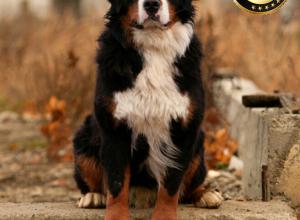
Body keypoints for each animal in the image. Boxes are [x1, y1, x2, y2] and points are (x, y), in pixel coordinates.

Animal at [72, 0, 223, 220]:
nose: (152, 4)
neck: (154, 46)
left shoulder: (183, 128)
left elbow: (171, 185)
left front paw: (164, 215)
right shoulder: (115, 128)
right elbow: (116, 184)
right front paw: (116, 216)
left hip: (198, 149)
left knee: (189, 186)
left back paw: (207, 194)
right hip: (85, 137)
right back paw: (92, 197)